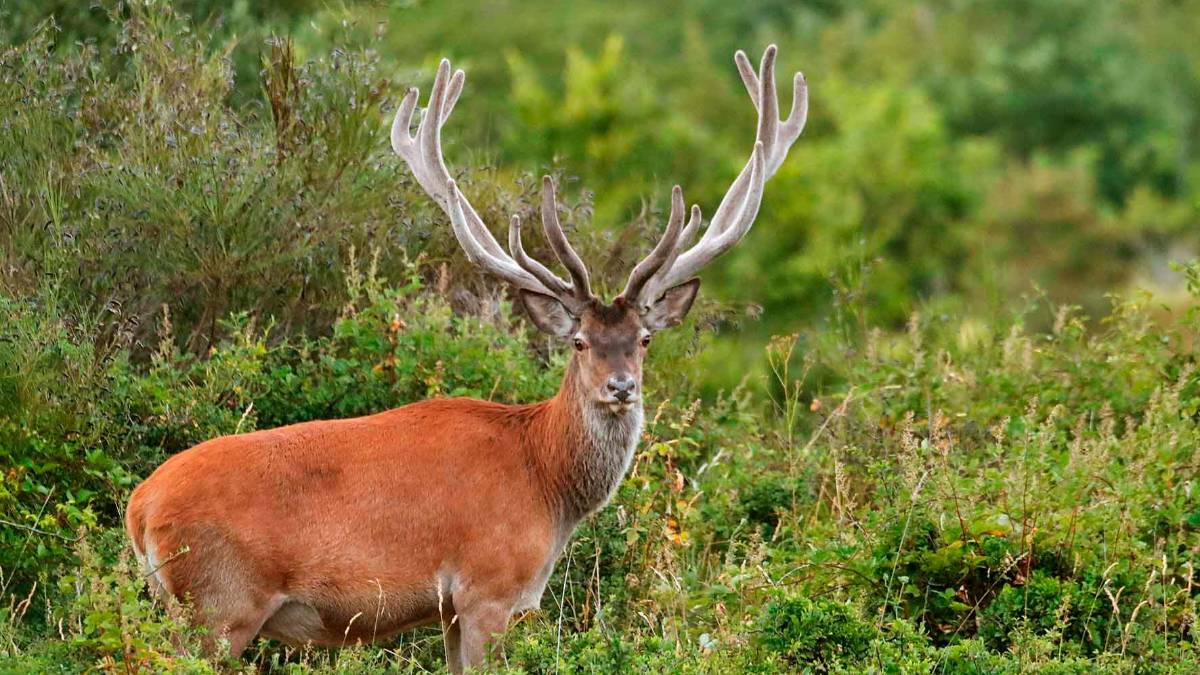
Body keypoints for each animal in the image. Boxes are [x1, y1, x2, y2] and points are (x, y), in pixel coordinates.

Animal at [124, 44, 806, 672]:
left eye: (643, 339)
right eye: (579, 341)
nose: (620, 387)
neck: (545, 481)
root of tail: (140, 507)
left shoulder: (450, 610)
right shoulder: (488, 588)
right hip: (219, 606)